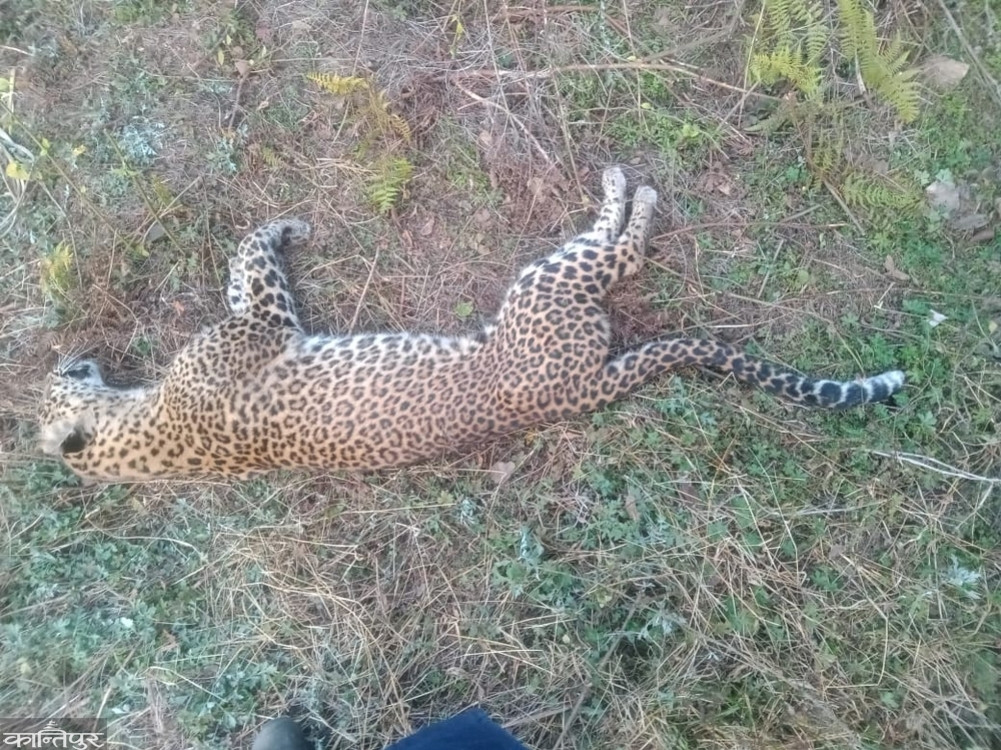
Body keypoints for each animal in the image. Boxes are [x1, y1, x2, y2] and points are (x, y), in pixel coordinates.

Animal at [38, 167, 904, 483]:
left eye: (58, 376)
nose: (71, 355)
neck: (134, 427)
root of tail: (579, 392)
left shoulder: (259, 322)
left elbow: (239, 264)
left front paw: (284, 226)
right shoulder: (264, 323)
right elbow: (249, 265)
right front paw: (285, 228)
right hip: (544, 288)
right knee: (619, 251)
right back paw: (629, 185)